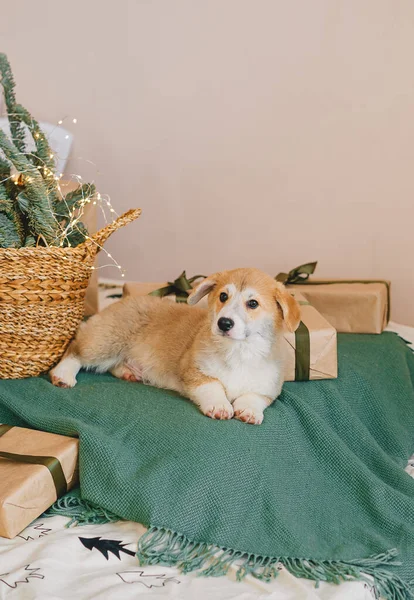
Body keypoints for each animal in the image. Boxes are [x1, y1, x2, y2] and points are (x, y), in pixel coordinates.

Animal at [50, 270, 300, 424]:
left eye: (253, 303)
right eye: (223, 296)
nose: (224, 323)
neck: (239, 352)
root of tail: (122, 300)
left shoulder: (267, 388)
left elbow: (253, 397)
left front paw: (248, 411)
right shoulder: (193, 372)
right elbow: (213, 386)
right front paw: (220, 406)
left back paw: (129, 372)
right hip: (106, 342)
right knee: (74, 350)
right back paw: (63, 375)